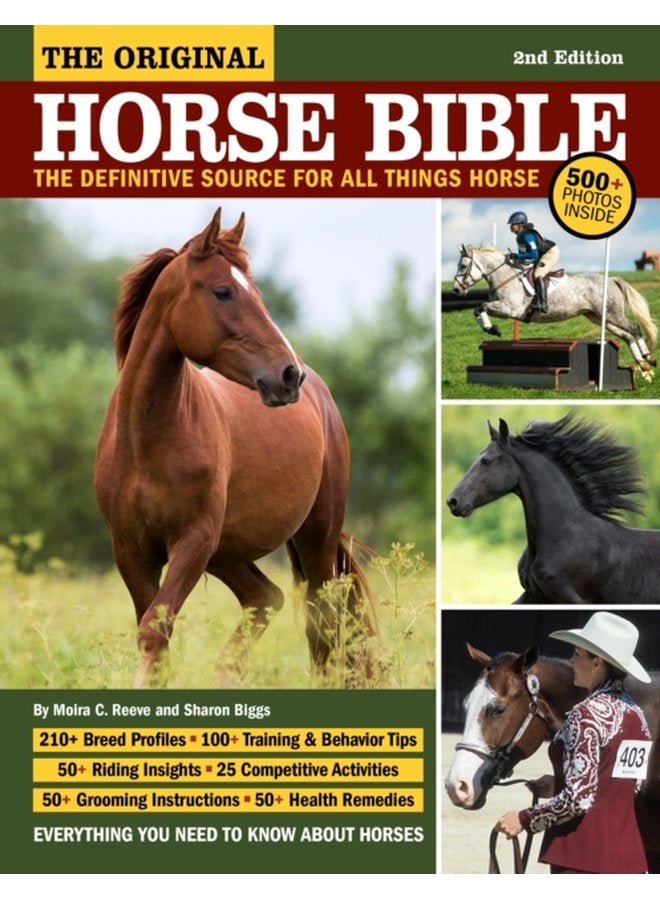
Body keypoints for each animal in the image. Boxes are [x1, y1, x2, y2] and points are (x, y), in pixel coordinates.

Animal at [94, 208, 377, 688]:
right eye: (223, 291)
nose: (288, 375)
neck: (147, 440)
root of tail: (321, 397)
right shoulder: (132, 552)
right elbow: (155, 636)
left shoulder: (192, 542)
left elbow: (155, 630)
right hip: (227, 552)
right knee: (266, 597)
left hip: (312, 539)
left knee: (322, 622)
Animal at [452, 244, 658, 377]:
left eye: (463, 266)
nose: (455, 289)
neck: (505, 275)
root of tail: (612, 280)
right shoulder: (503, 308)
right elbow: (478, 309)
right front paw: (492, 329)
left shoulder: (509, 308)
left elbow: (480, 307)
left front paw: (493, 329)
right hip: (600, 318)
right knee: (627, 335)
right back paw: (642, 364)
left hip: (612, 315)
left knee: (634, 328)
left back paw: (649, 358)